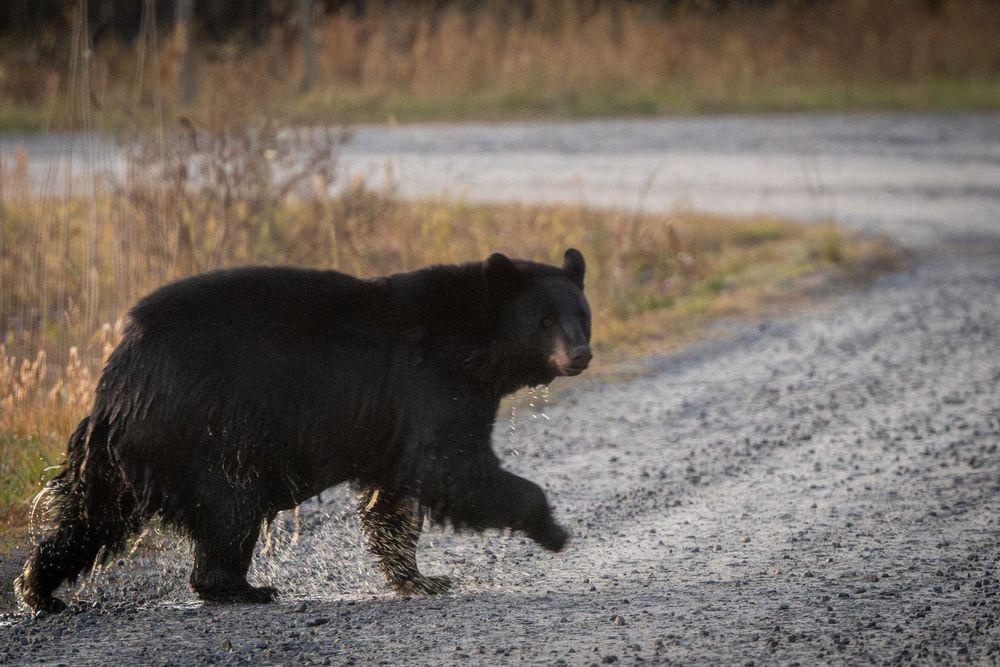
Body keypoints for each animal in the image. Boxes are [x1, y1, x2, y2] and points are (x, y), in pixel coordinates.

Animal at [15, 249, 592, 613]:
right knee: (229, 511)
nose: (581, 354)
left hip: (121, 455)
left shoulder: (396, 415)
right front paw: (554, 529)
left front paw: (421, 577)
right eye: (544, 320)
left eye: (581, 314)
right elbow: (454, 467)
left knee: (90, 518)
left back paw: (40, 590)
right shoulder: (431, 383)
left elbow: (396, 494)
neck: (476, 348)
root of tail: (120, 375)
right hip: (209, 437)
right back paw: (244, 588)